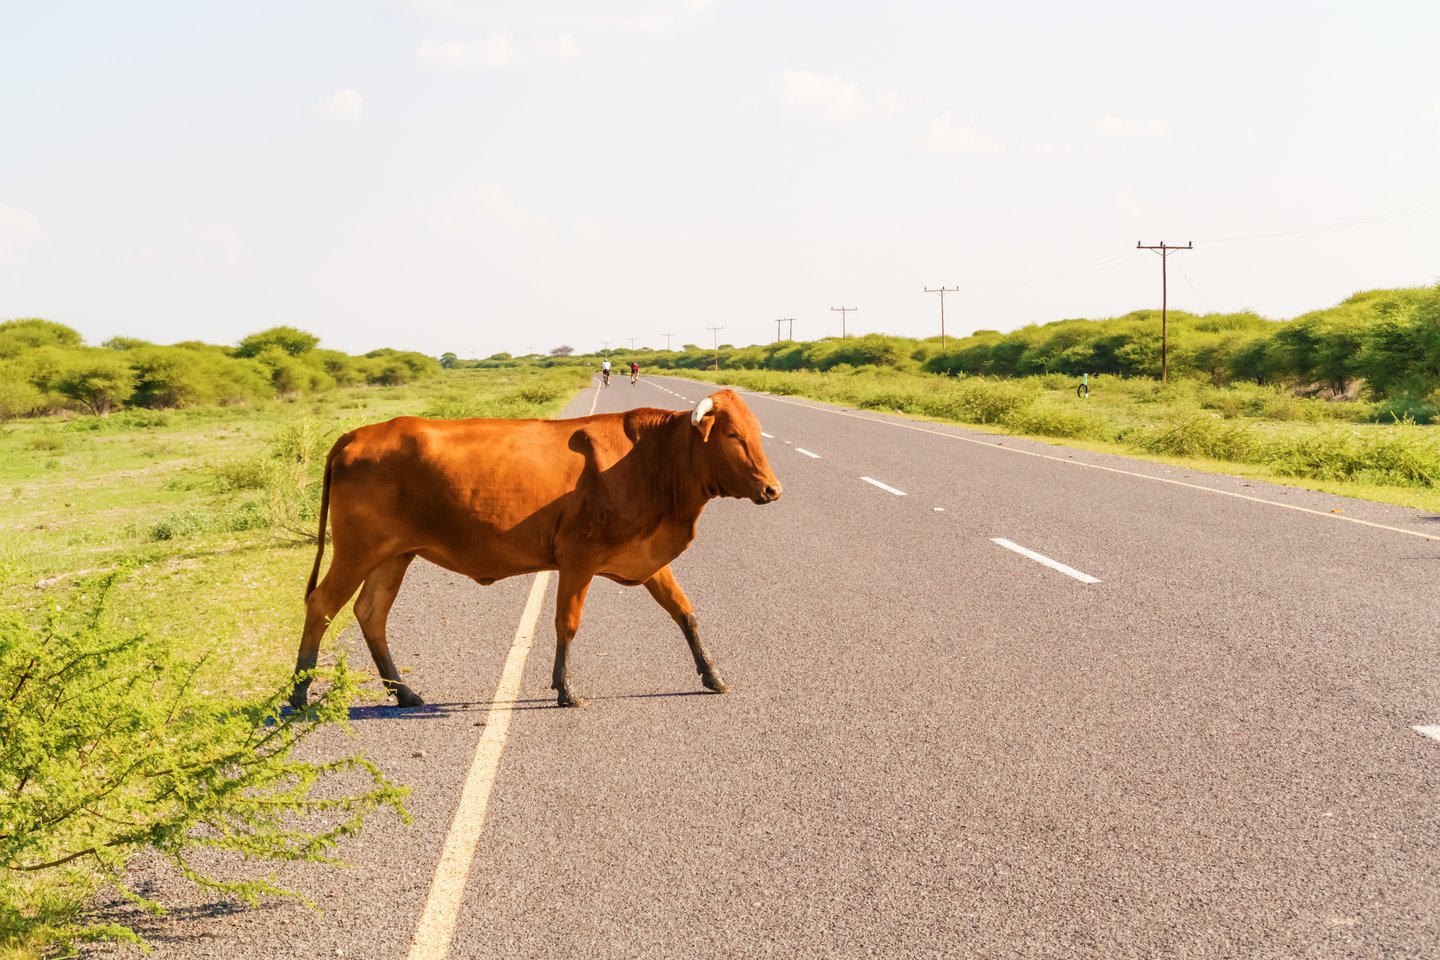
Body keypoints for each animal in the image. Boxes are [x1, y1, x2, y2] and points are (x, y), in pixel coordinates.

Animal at [289, 389, 782, 710]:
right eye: (731, 435)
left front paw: (713, 675)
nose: (772, 489)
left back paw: (404, 692)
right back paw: (298, 692)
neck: (650, 460)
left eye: (757, 431)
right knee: (322, 605)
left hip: (394, 555)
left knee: (370, 613)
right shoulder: (577, 560)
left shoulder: (645, 558)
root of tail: (358, 434)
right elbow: (567, 624)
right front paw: (565, 689)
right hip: (357, 550)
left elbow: (685, 612)